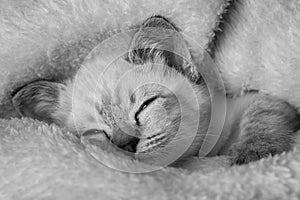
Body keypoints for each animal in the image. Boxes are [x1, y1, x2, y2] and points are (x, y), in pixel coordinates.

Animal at [12, 15, 300, 166]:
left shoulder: (254, 100)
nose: (126, 145)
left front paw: (254, 153)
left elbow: (261, 114)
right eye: (95, 133)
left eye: (144, 107)